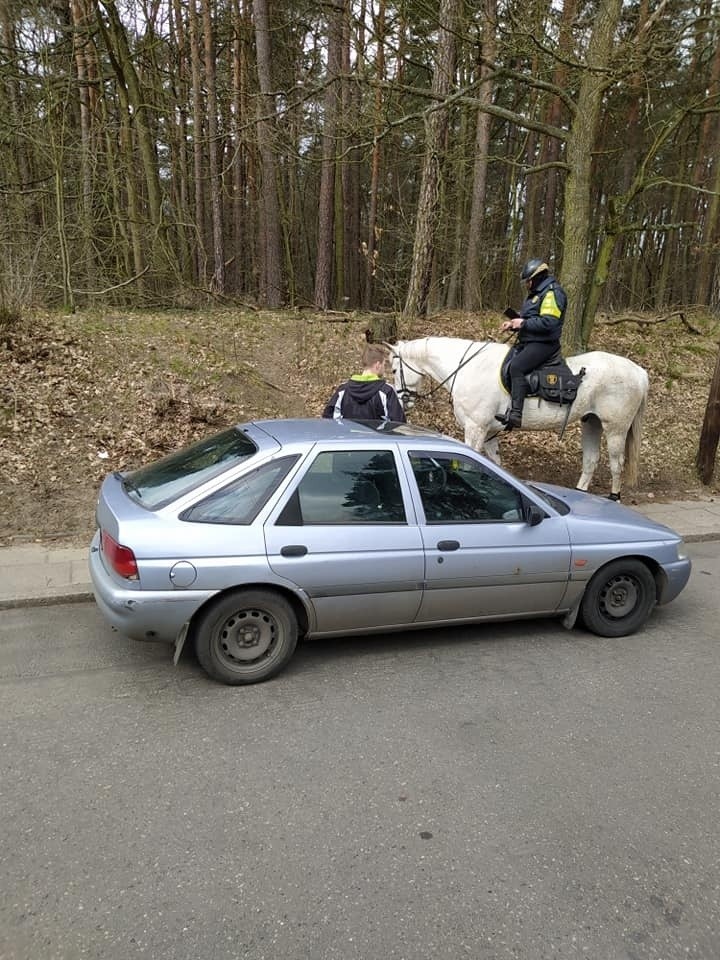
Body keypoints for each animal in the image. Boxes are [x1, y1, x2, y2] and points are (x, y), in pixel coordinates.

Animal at [390, 338, 648, 498]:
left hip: (615, 429)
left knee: (616, 464)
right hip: (591, 423)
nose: (402, 399)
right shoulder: (488, 431)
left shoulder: (475, 429)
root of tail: (639, 372)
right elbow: (493, 464)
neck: (468, 368)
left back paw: (614, 497)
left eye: (393, 370)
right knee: (591, 460)